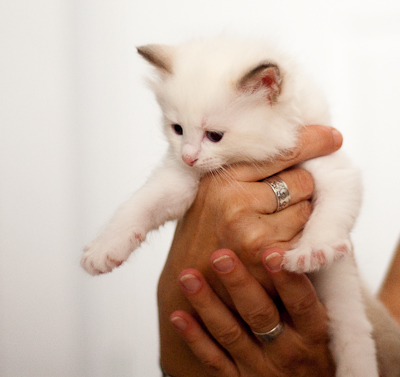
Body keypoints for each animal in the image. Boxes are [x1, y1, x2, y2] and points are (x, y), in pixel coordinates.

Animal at [82, 36, 394, 374]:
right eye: (177, 129)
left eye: (214, 135)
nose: (188, 156)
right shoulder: (178, 180)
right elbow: (140, 205)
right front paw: (104, 248)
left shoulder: (334, 169)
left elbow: (330, 213)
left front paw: (313, 250)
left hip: (341, 292)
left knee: (354, 336)